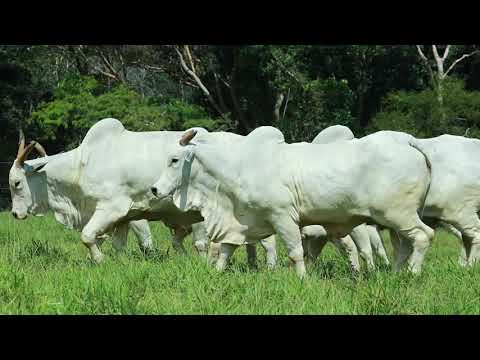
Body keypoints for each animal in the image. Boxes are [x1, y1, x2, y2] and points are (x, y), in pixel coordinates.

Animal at [151, 125, 436, 278]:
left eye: (174, 160)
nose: (154, 188)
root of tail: (409, 143)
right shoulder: (241, 221)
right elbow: (226, 249)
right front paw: (217, 273)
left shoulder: (282, 217)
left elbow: (296, 252)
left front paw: (302, 279)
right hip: (396, 219)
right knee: (403, 245)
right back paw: (397, 273)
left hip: (398, 214)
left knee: (424, 236)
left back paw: (412, 273)